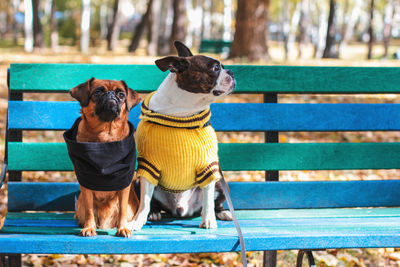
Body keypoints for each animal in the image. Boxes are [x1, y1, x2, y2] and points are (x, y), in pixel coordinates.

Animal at [69, 78, 142, 238]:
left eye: (121, 94)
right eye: (97, 92)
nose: (110, 95)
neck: (105, 137)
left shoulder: (124, 184)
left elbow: (122, 209)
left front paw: (122, 228)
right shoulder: (86, 183)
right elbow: (90, 209)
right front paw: (89, 227)